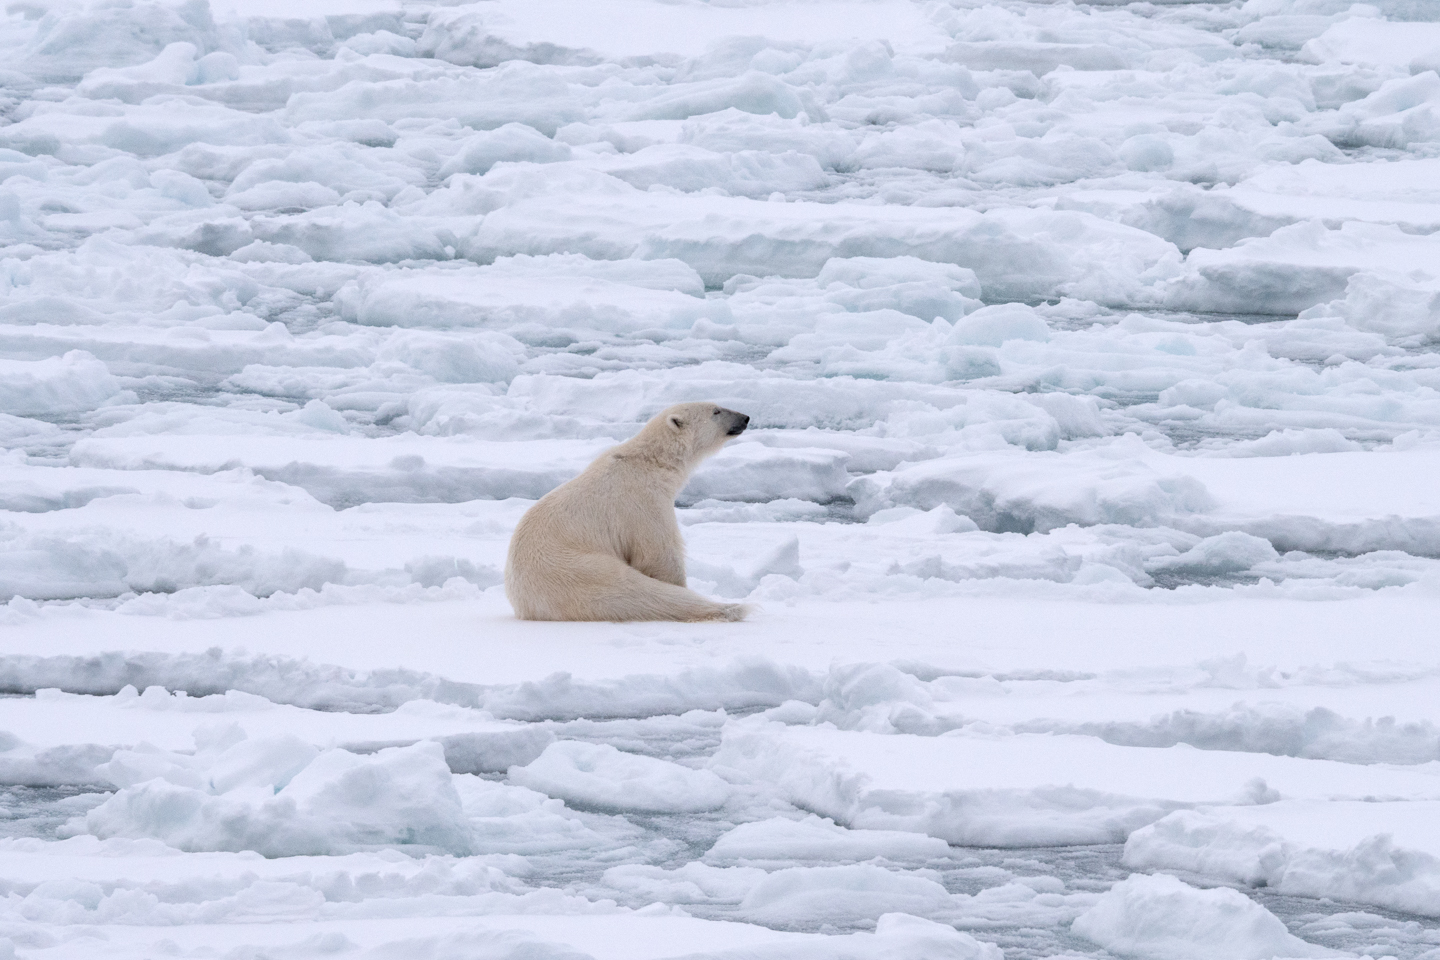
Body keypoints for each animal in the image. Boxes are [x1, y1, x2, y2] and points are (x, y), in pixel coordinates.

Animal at [505, 402, 751, 622]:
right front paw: (679, 583)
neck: (650, 463)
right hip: (574, 569)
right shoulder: (644, 503)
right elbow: (658, 554)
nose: (746, 418)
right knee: (631, 590)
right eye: (716, 411)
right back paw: (729, 608)